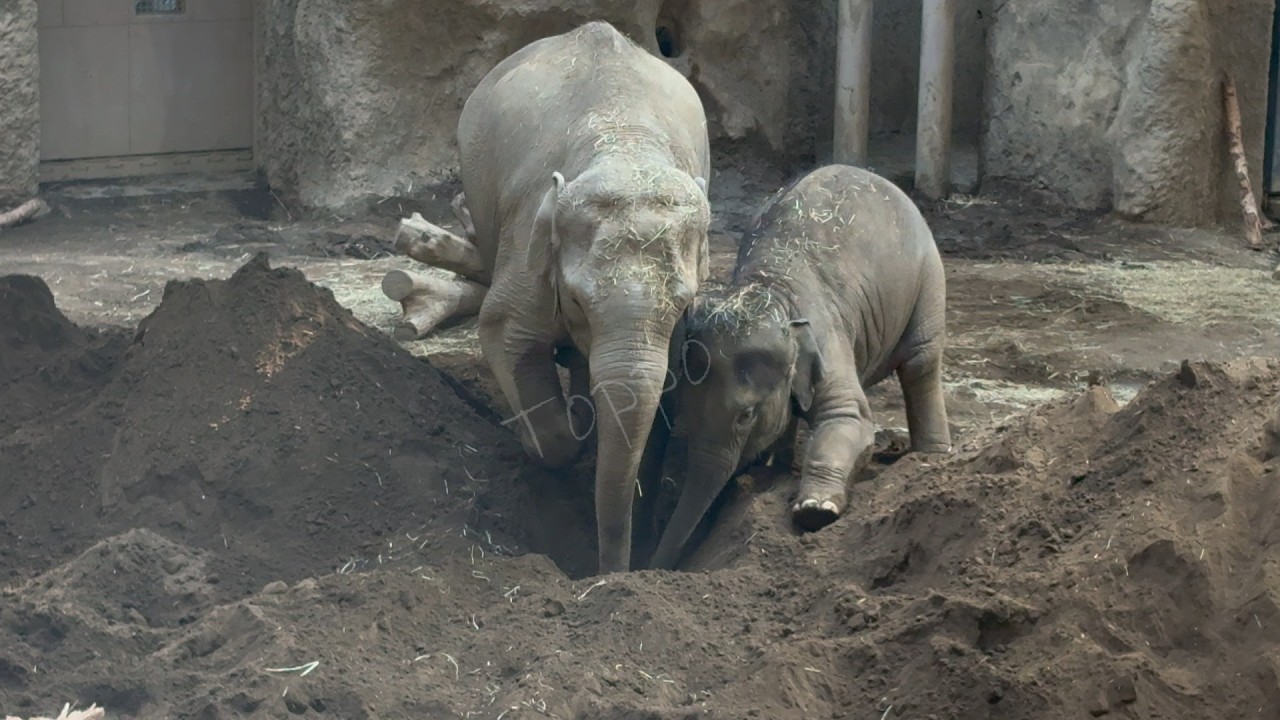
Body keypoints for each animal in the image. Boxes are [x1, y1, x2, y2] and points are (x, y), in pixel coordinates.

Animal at [456, 21, 712, 574]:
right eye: (575, 301)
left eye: (684, 305)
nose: (612, 575)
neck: (623, 146)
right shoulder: (530, 241)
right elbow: (503, 331)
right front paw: (561, 431)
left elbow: (660, 388)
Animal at [649, 164, 953, 570]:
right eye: (684, 411)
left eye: (745, 416)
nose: (653, 564)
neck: (769, 288)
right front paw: (769, 474)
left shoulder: (827, 339)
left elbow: (849, 418)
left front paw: (814, 511)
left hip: (928, 277)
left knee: (921, 361)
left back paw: (930, 455)